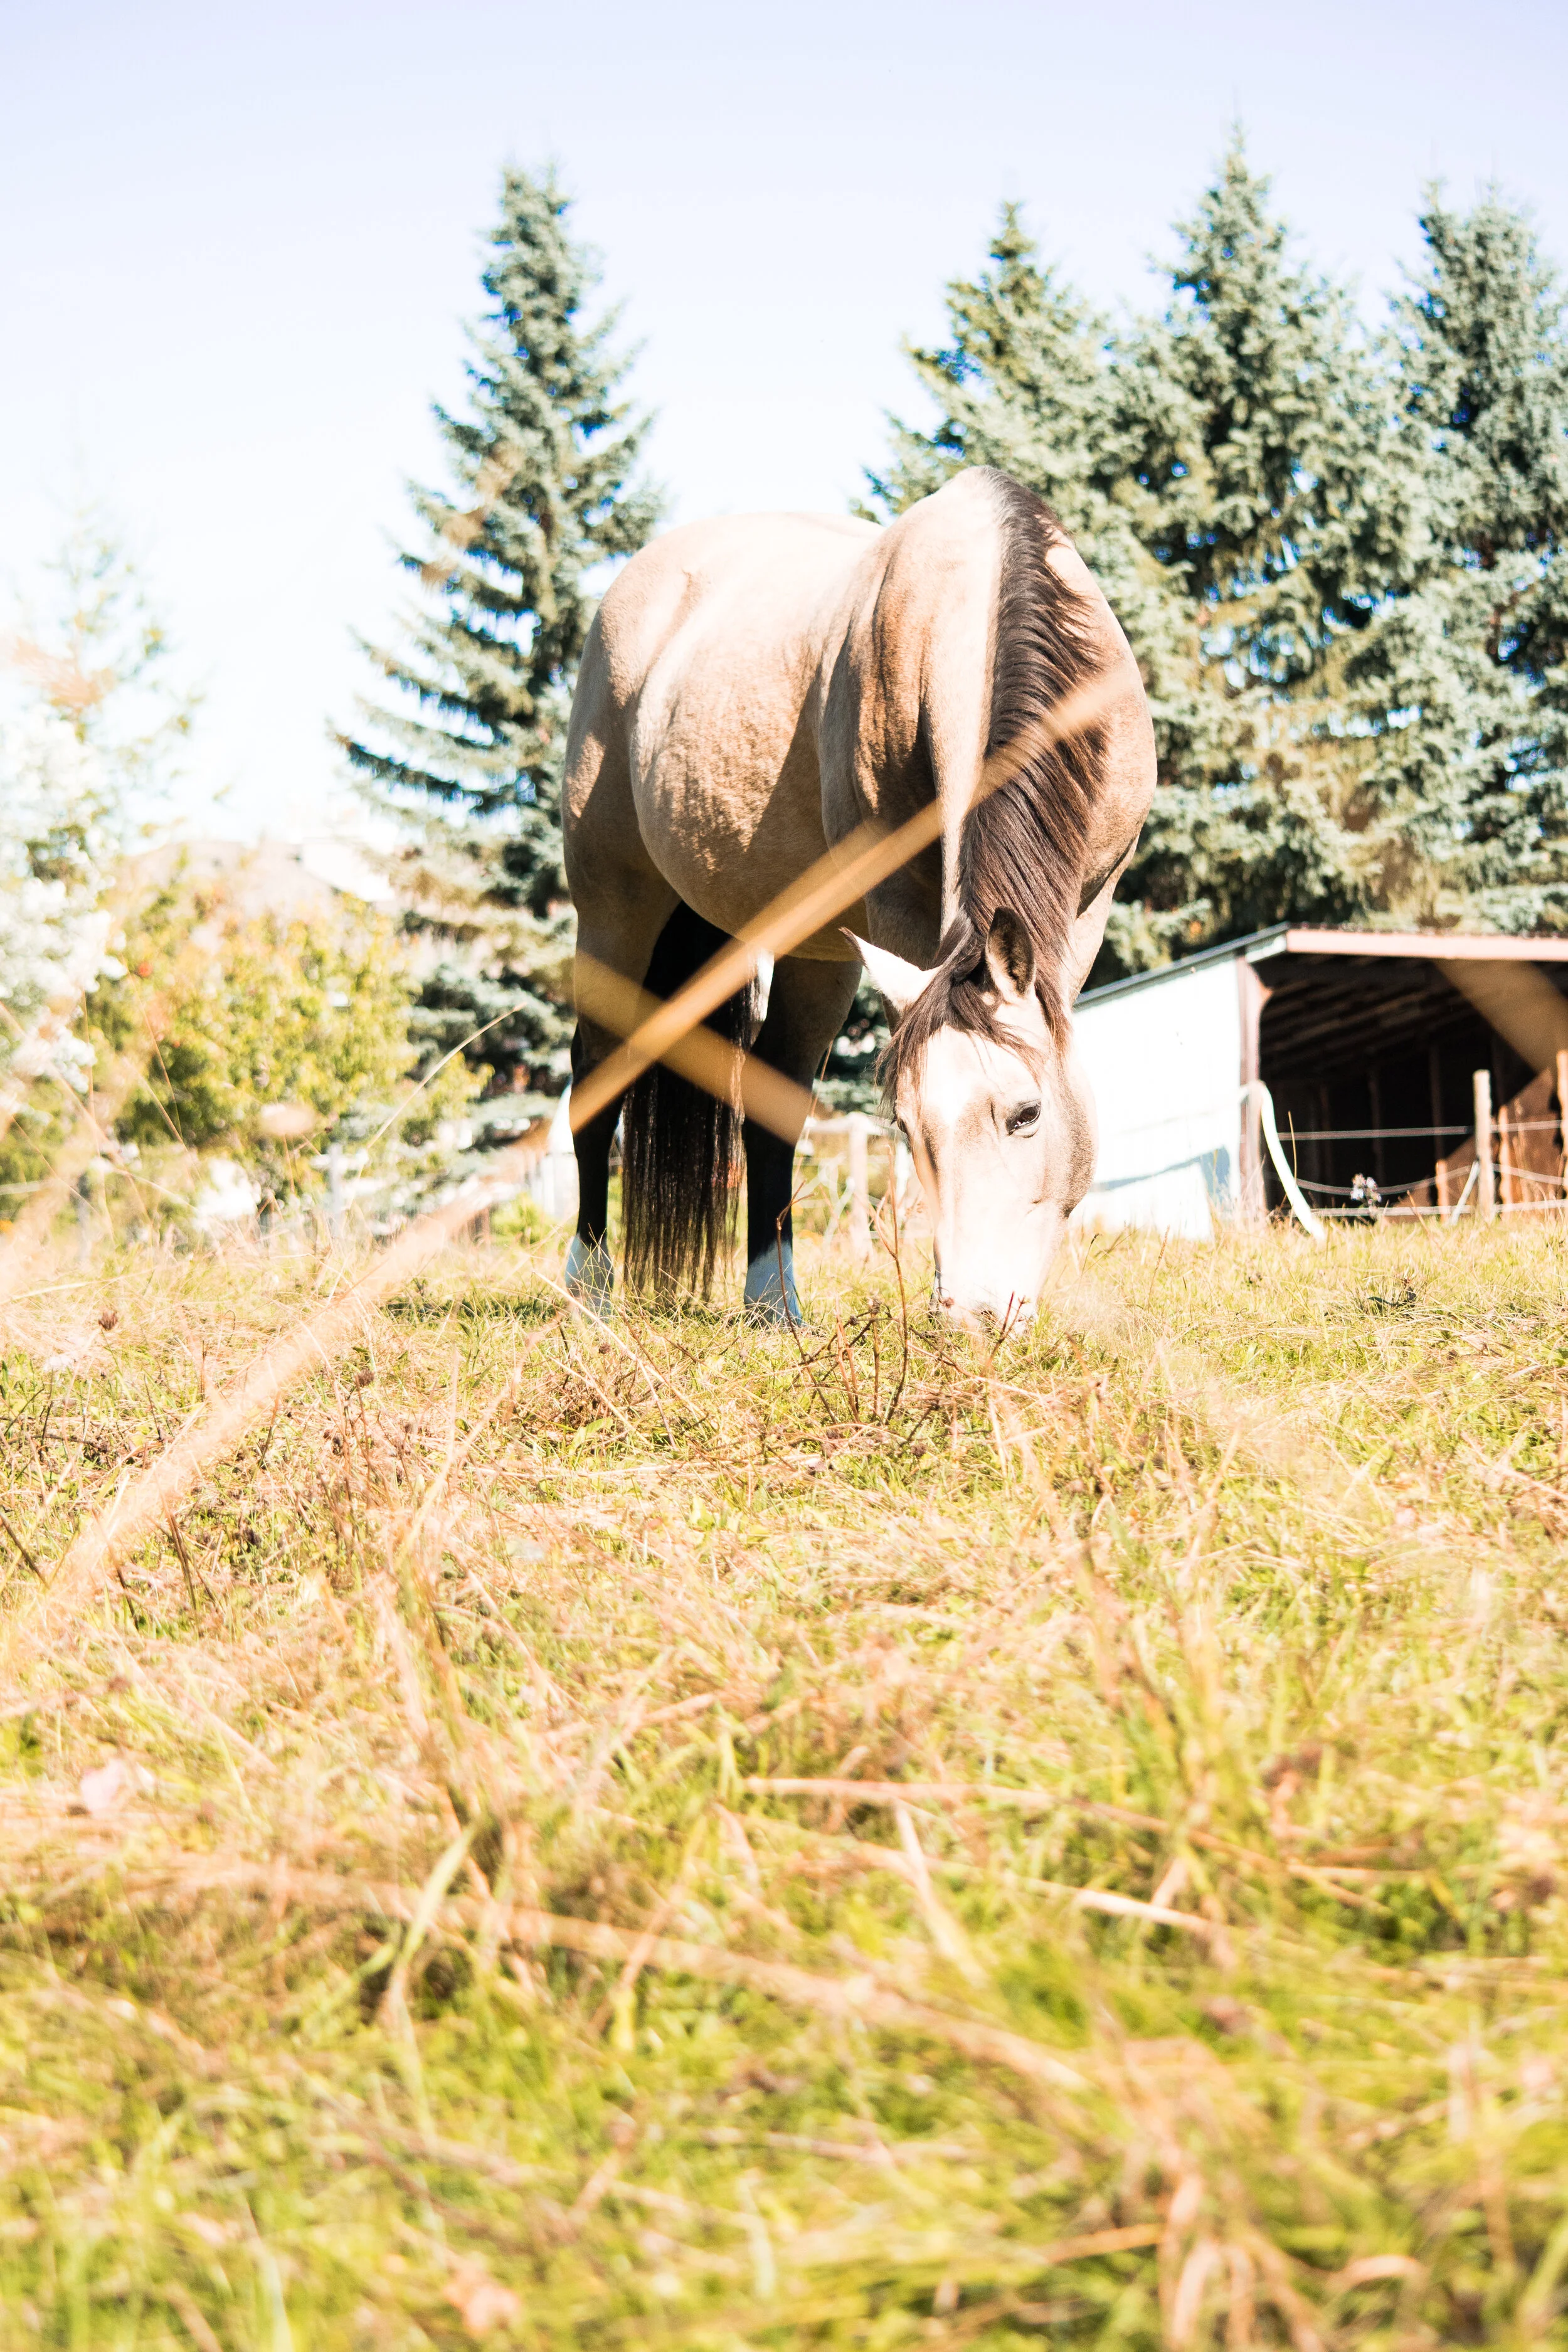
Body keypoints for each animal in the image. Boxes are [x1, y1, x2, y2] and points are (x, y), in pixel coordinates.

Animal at [561, 468, 1152, 1336]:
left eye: (1025, 1114)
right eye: (905, 1126)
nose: (972, 1315)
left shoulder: (1086, 906)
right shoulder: (902, 914)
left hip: (813, 946)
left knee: (771, 1098)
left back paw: (772, 1303)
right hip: (615, 911)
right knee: (596, 1074)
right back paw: (590, 1287)